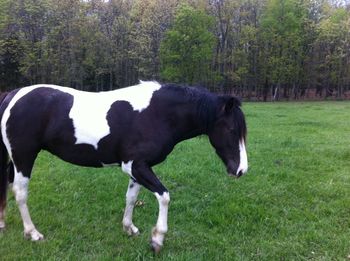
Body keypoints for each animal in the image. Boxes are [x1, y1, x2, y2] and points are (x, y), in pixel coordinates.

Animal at [0, 81, 247, 252]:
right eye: (231, 130)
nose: (241, 170)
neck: (157, 114)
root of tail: (13, 94)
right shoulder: (135, 166)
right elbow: (164, 196)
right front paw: (157, 239)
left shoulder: (137, 168)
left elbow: (131, 197)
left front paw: (129, 228)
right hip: (24, 157)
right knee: (20, 193)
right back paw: (32, 233)